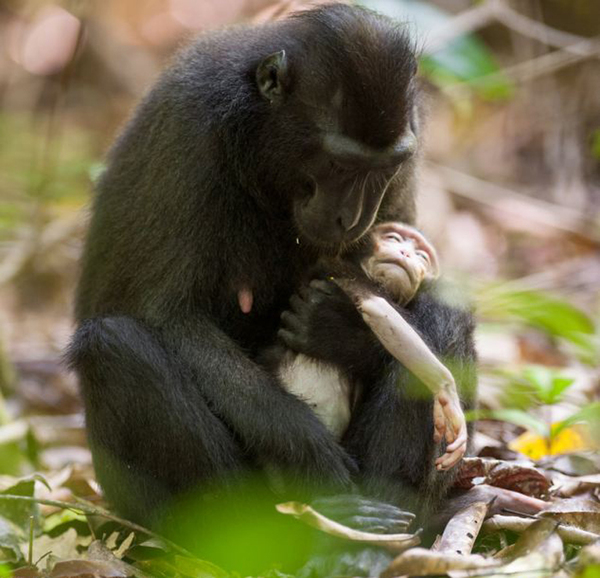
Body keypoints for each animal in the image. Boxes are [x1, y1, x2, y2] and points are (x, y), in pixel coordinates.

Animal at [248, 223, 468, 470]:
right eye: (393, 238)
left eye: (422, 256)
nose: (406, 253)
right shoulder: (350, 273)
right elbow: (378, 309)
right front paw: (445, 389)